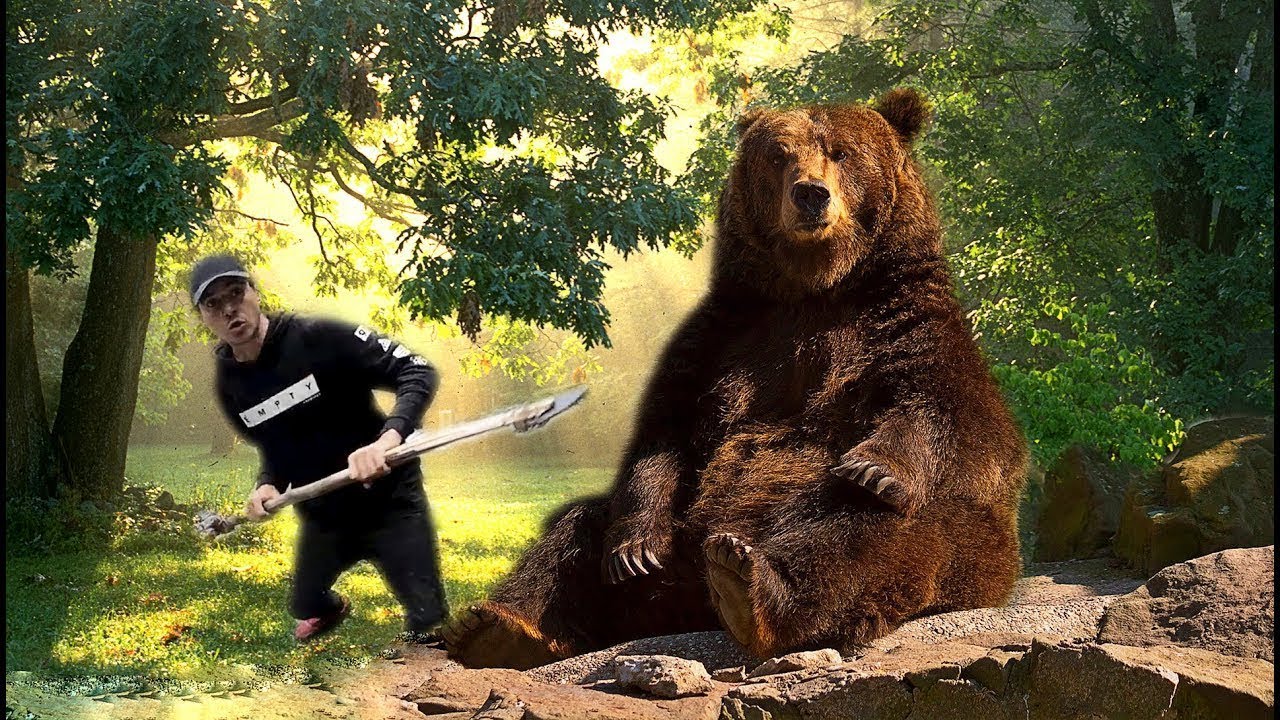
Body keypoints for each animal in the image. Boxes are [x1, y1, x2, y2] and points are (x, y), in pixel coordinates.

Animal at [440, 87, 1029, 669]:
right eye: (779, 155)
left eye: (841, 153)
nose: (810, 195)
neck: (818, 285)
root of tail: (690, 606)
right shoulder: (724, 334)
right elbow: (666, 431)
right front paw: (634, 551)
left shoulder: (907, 319)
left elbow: (956, 418)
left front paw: (875, 466)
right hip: (674, 536)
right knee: (579, 526)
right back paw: (499, 626)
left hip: (961, 550)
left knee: (870, 530)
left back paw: (748, 581)